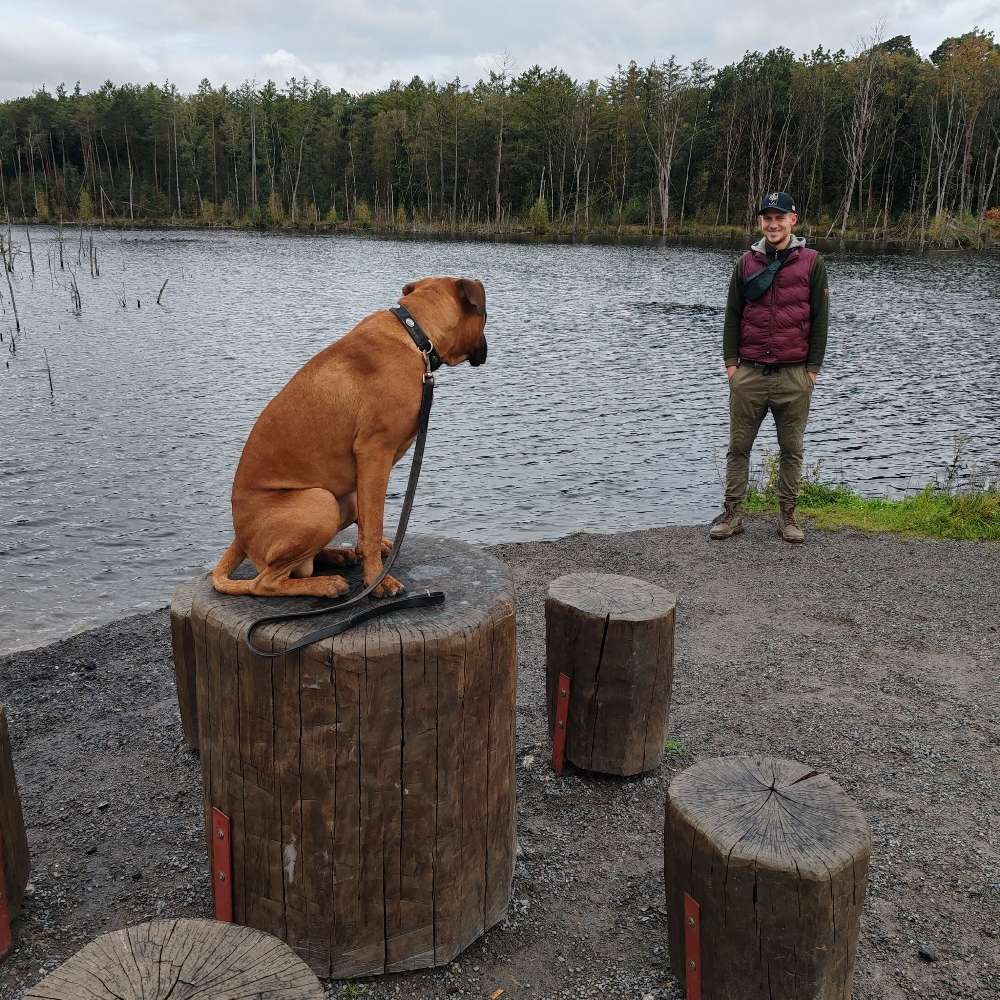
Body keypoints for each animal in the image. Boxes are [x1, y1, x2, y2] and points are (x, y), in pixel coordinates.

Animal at [212, 278, 488, 596]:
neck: (416, 336)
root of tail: (240, 538)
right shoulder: (375, 454)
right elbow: (374, 524)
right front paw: (378, 580)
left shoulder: (365, 478)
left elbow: (368, 524)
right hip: (321, 502)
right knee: (266, 582)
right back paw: (326, 584)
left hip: (344, 499)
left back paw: (336, 555)